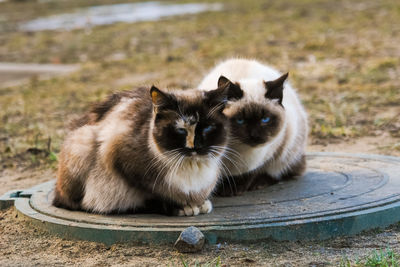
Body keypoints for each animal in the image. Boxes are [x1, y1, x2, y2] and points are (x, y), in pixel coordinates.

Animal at [54, 85, 233, 217]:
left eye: (207, 128)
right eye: (181, 130)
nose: (195, 147)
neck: (192, 167)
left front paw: (200, 203)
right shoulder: (127, 166)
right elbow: (155, 194)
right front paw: (183, 206)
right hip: (82, 143)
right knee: (73, 203)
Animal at [198, 59, 308, 197]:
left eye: (265, 119)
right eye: (240, 120)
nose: (255, 135)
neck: (237, 150)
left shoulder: (270, 151)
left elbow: (252, 172)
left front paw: (233, 189)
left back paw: (259, 183)